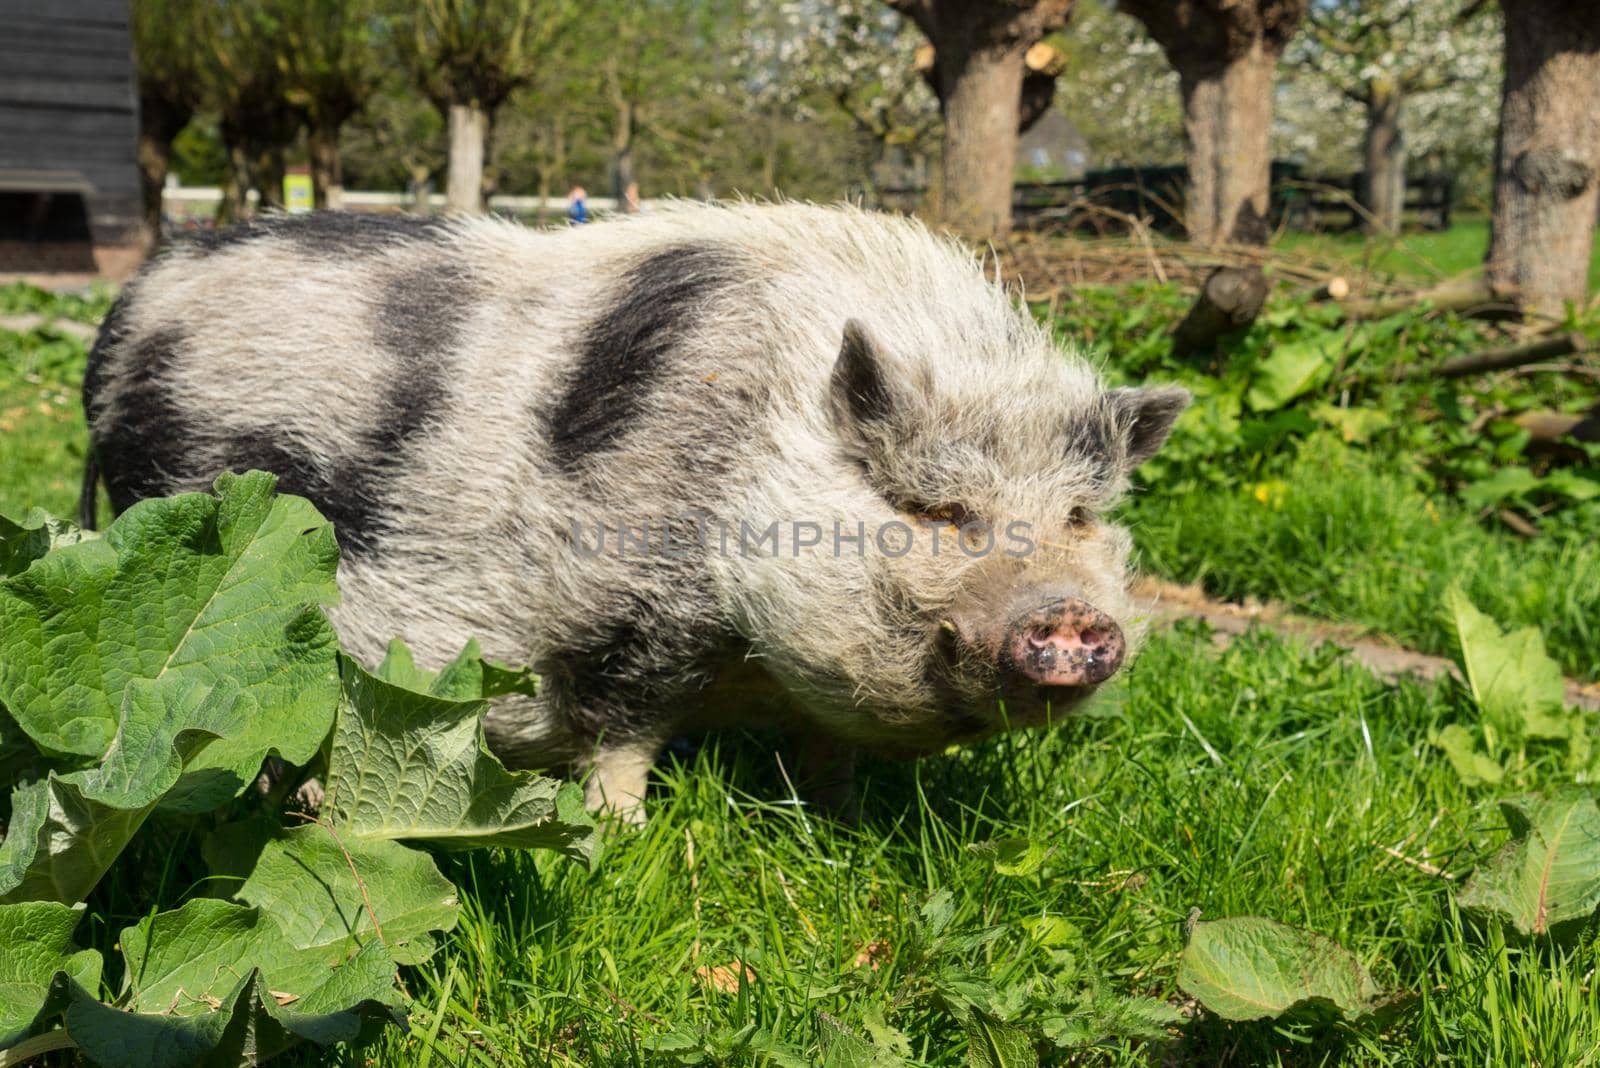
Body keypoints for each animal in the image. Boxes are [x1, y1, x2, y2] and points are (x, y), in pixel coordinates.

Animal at [84, 199, 1190, 818]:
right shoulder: (632, 605)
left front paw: (841, 821)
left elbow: (826, 755)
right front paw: (615, 838)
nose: (1069, 620)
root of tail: (129, 311)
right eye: (934, 506)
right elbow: (625, 734)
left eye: (1082, 516)